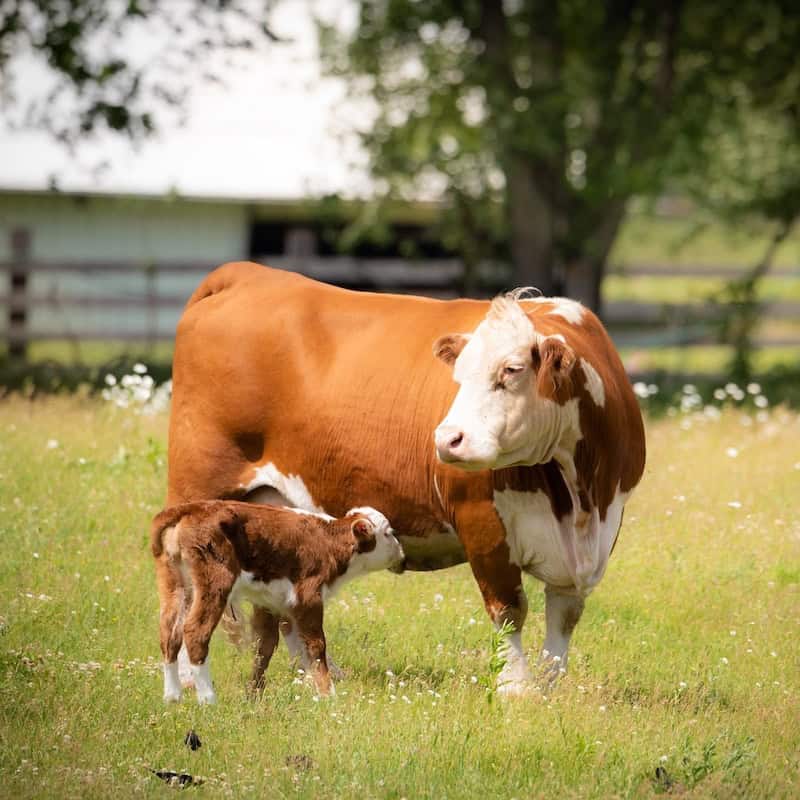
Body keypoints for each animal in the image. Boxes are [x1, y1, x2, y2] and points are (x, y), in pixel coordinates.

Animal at [151, 504, 404, 704]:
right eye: (388, 533)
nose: (402, 554)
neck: (329, 542)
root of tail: (193, 508)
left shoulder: (270, 603)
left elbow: (265, 647)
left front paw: (254, 694)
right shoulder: (308, 598)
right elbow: (316, 645)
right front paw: (327, 694)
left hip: (176, 586)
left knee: (169, 634)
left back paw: (172, 697)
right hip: (215, 583)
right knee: (195, 632)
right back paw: (208, 700)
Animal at [169, 262, 644, 692]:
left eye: (512, 370)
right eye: (458, 375)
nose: (447, 439)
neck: (578, 497)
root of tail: (248, 273)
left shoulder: (597, 535)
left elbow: (564, 617)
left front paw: (548, 690)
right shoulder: (482, 522)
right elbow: (509, 609)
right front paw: (516, 689)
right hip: (198, 494)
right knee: (187, 596)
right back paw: (192, 681)